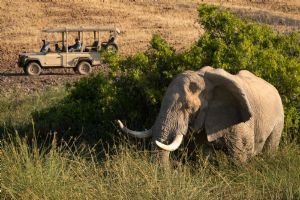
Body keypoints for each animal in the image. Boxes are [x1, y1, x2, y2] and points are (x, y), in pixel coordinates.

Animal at [116, 66, 284, 165]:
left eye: (188, 107)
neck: (205, 79)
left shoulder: (240, 123)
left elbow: (240, 156)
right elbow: (204, 153)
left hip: (279, 118)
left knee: (270, 148)